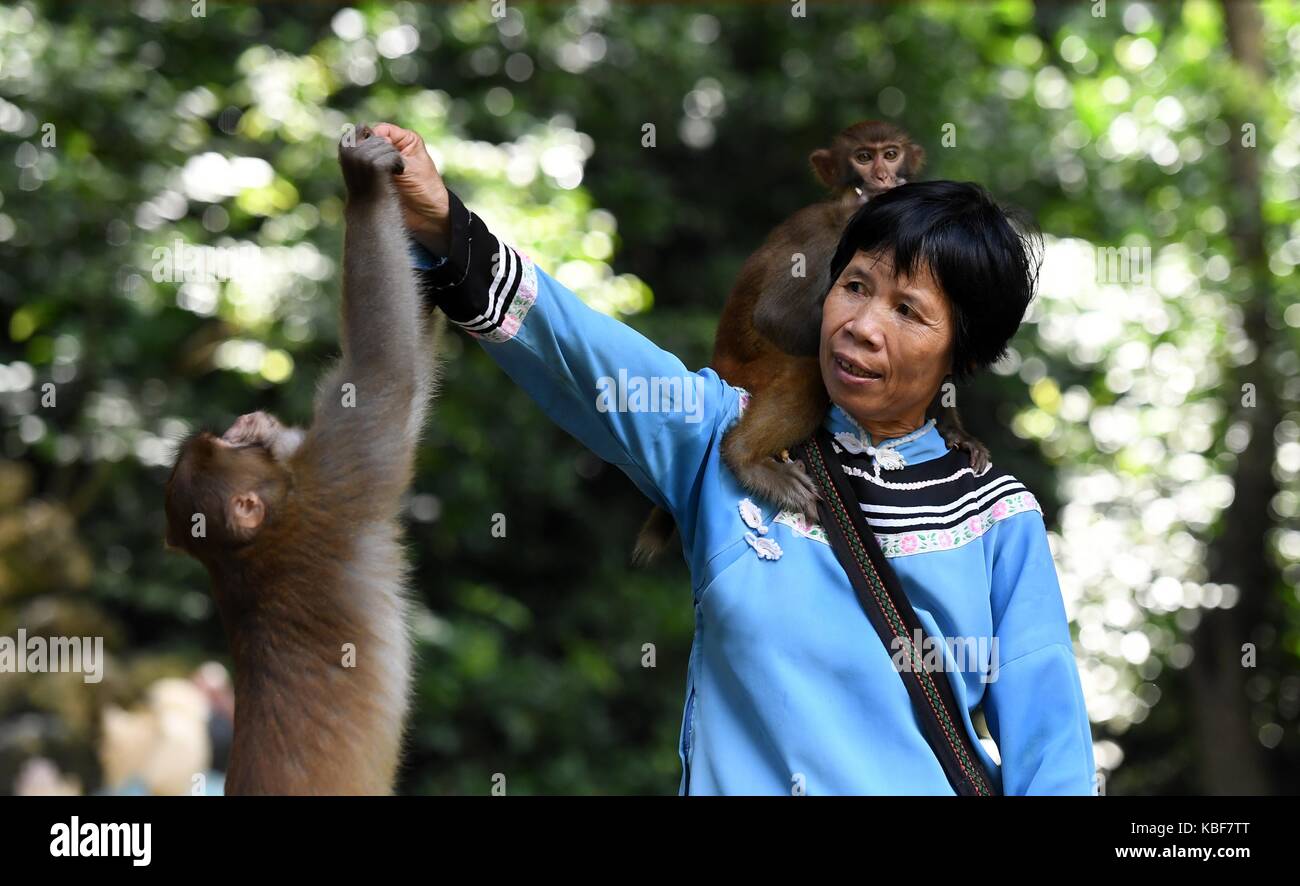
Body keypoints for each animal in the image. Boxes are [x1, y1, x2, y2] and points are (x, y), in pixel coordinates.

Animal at [162, 126, 444, 795]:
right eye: (231, 450)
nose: (248, 427)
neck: (251, 551)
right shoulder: (333, 487)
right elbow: (386, 373)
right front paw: (365, 184)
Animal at [634, 118, 987, 558]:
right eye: (863, 157)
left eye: (890, 154)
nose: (883, 177)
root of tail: (719, 362)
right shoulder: (826, 235)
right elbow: (776, 316)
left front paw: (955, 431)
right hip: (753, 372)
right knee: (809, 370)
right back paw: (745, 457)